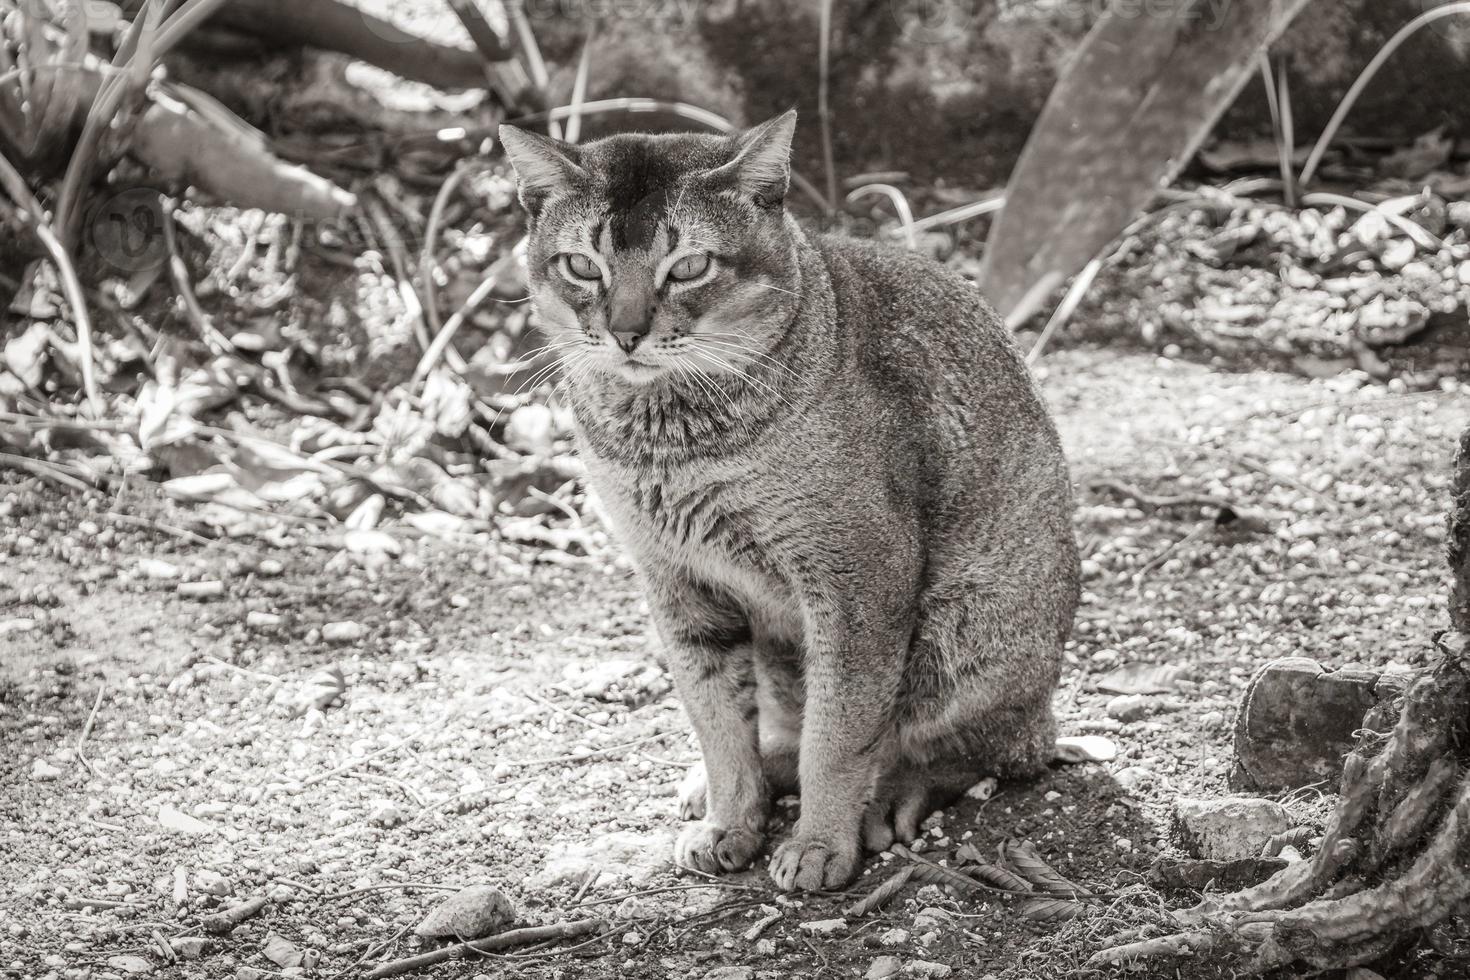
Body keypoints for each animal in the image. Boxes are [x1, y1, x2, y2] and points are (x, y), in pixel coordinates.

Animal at [499, 110, 1076, 893]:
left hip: (966, 629)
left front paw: (821, 843)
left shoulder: (855, 578)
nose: (625, 333)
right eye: (582, 266)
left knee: (979, 747)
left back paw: (890, 795)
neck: (674, 446)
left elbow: (838, 734)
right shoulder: (677, 582)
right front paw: (730, 820)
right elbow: (716, 722)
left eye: (689, 267)